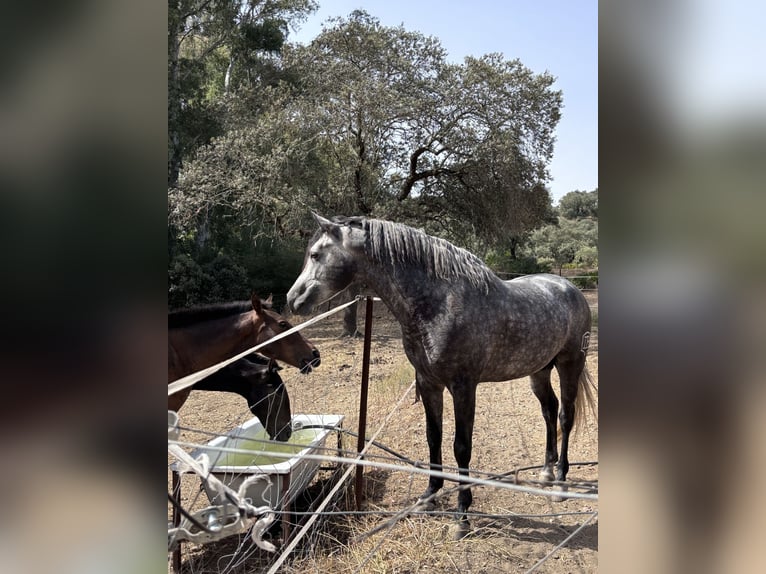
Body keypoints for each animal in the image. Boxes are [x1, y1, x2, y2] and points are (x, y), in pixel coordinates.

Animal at [287, 214, 596, 537]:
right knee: (549, 410)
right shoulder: (428, 383)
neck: (439, 305)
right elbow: (433, 438)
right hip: (539, 370)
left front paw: (462, 515)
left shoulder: (463, 387)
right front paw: (429, 497)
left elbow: (461, 446)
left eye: (315, 255)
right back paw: (546, 472)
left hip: (570, 364)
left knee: (565, 416)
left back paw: (560, 480)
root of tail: (569, 287)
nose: (292, 300)